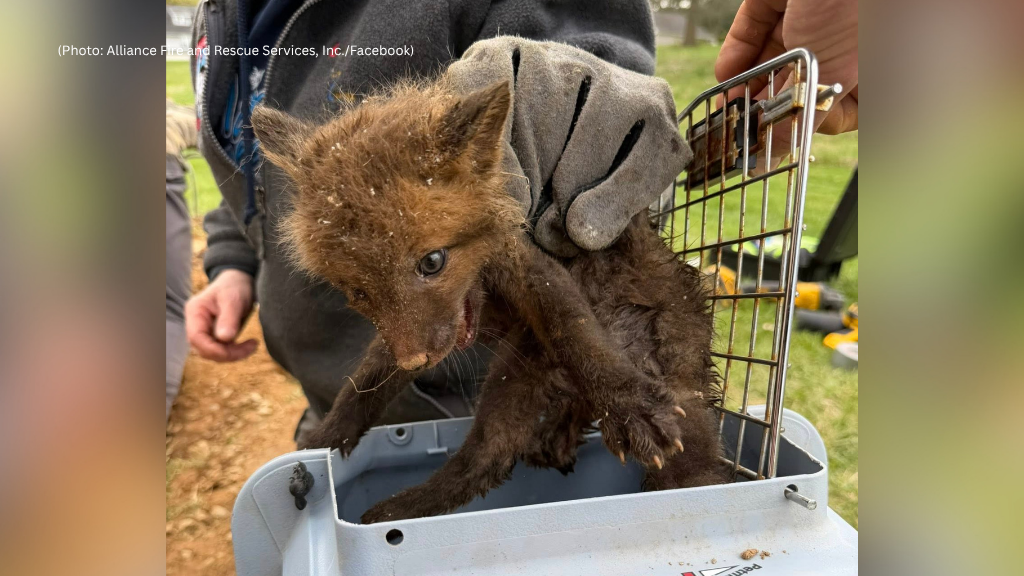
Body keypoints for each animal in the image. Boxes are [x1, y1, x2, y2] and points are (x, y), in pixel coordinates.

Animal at [251, 76, 728, 524]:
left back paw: (387, 516)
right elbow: (362, 386)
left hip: (530, 366)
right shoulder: (412, 333)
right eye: (358, 292)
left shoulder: (529, 265)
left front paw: (630, 408)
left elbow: (577, 333)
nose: (416, 362)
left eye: (432, 262)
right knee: (493, 456)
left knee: (489, 457)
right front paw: (320, 445)